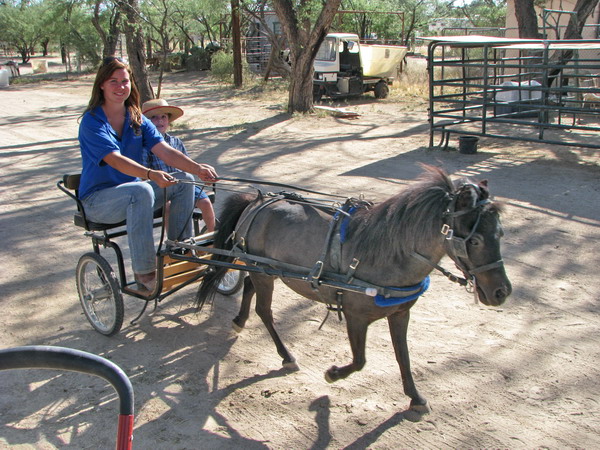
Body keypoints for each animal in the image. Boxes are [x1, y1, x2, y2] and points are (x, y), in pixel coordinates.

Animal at [197, 163, 510, 414]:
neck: (387, 253)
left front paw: (415, 397)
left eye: (500, 233)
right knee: (264, 310)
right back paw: (286, 356)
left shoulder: (400, 314)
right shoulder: (355, 316)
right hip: (264, 273)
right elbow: (360, 361)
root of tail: (257, 199)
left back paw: (239, 320)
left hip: (263, 270)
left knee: (249, 286)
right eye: (475, 240)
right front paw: (333, 374)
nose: (502, 292)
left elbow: (403, 356)